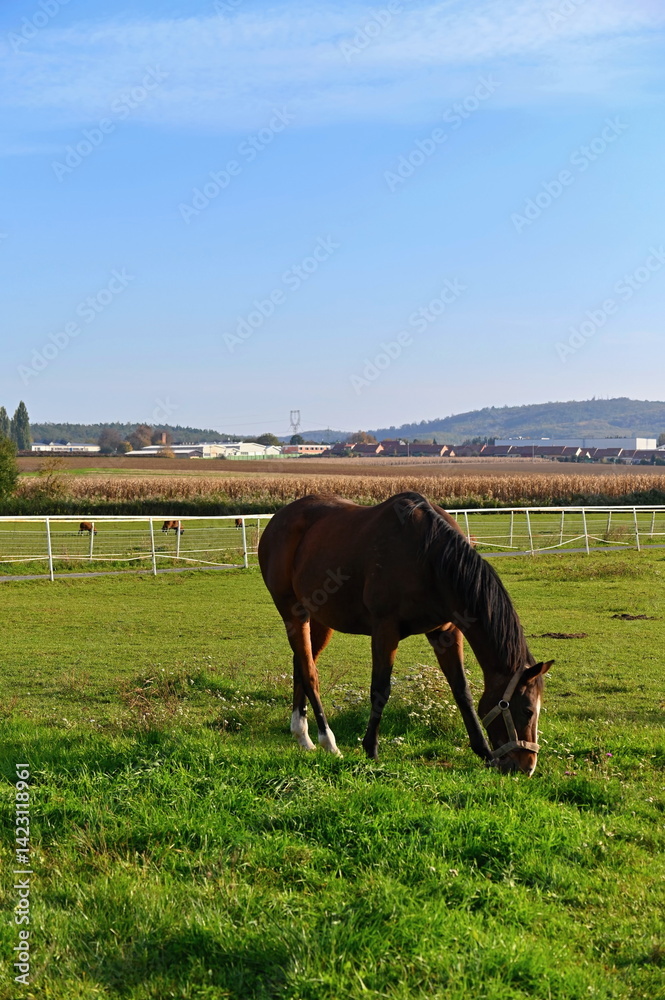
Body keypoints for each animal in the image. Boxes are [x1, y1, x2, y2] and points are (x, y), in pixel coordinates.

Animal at [258, 492, 553, 774]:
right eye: (527, 710)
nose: (527, 766)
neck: (430, 558)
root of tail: (277, 520)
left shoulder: (447, 632)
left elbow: (462, 691)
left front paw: (484, 752)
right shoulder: (385, 630)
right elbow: (380, 689)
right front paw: (371, 749)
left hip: (320, 618)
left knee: (301, 663)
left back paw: (302, 736)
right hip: (294, 614)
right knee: (310, 673)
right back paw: (327, 741)